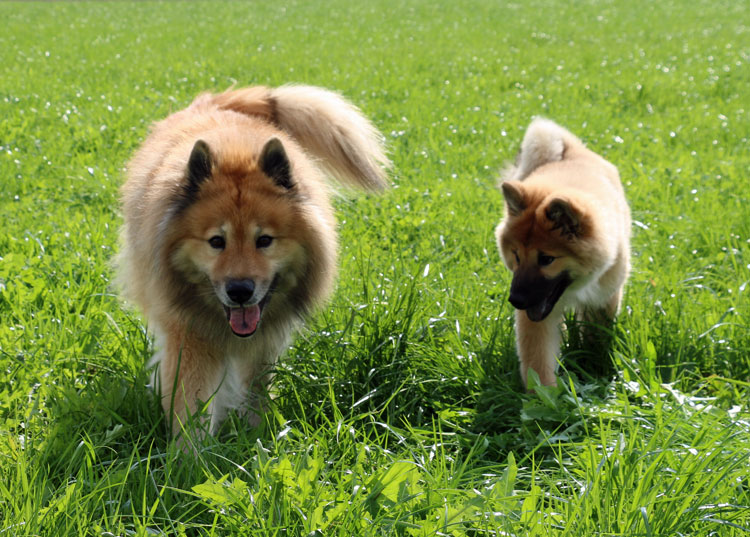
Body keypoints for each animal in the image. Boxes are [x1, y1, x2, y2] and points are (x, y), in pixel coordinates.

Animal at [116, 84, 394, 436]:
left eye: (264, 241)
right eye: (216, 242)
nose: (239, 291)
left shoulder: (265, 343)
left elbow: (257, 390)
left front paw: (258, 434)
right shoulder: (190, 336)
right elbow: (191, 405)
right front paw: (190, 451)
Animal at [496, 118, 632, 386]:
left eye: (547, 259)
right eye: (516, 256)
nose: (515, 300)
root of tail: (571, 150)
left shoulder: (603, 297)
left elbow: (595, 337)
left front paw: (593, 366)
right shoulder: (537, 317)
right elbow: (537, 361)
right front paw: (544, 395)